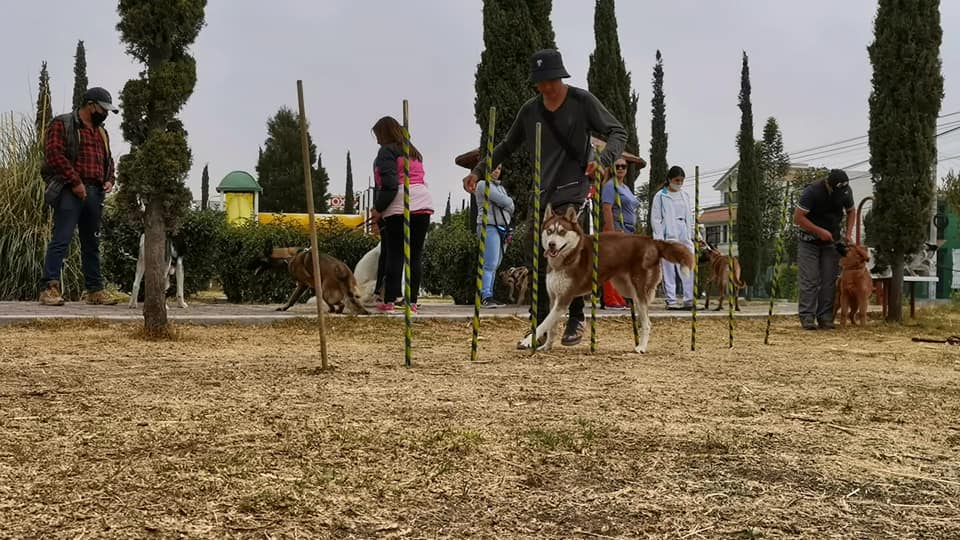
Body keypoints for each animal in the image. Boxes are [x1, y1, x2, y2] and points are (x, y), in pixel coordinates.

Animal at [519, 205, 694, 353]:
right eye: (549, 231)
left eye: (562, 232)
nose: (551, 245)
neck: (567, 258)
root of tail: (652, 241)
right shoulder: (553, 297)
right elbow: (551, 327)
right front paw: (546, 346)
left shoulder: (564, 300)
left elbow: (544, 323)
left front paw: (527, 340)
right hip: (627, 290)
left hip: (639, 292)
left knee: (647, 323)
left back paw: (641, 347)